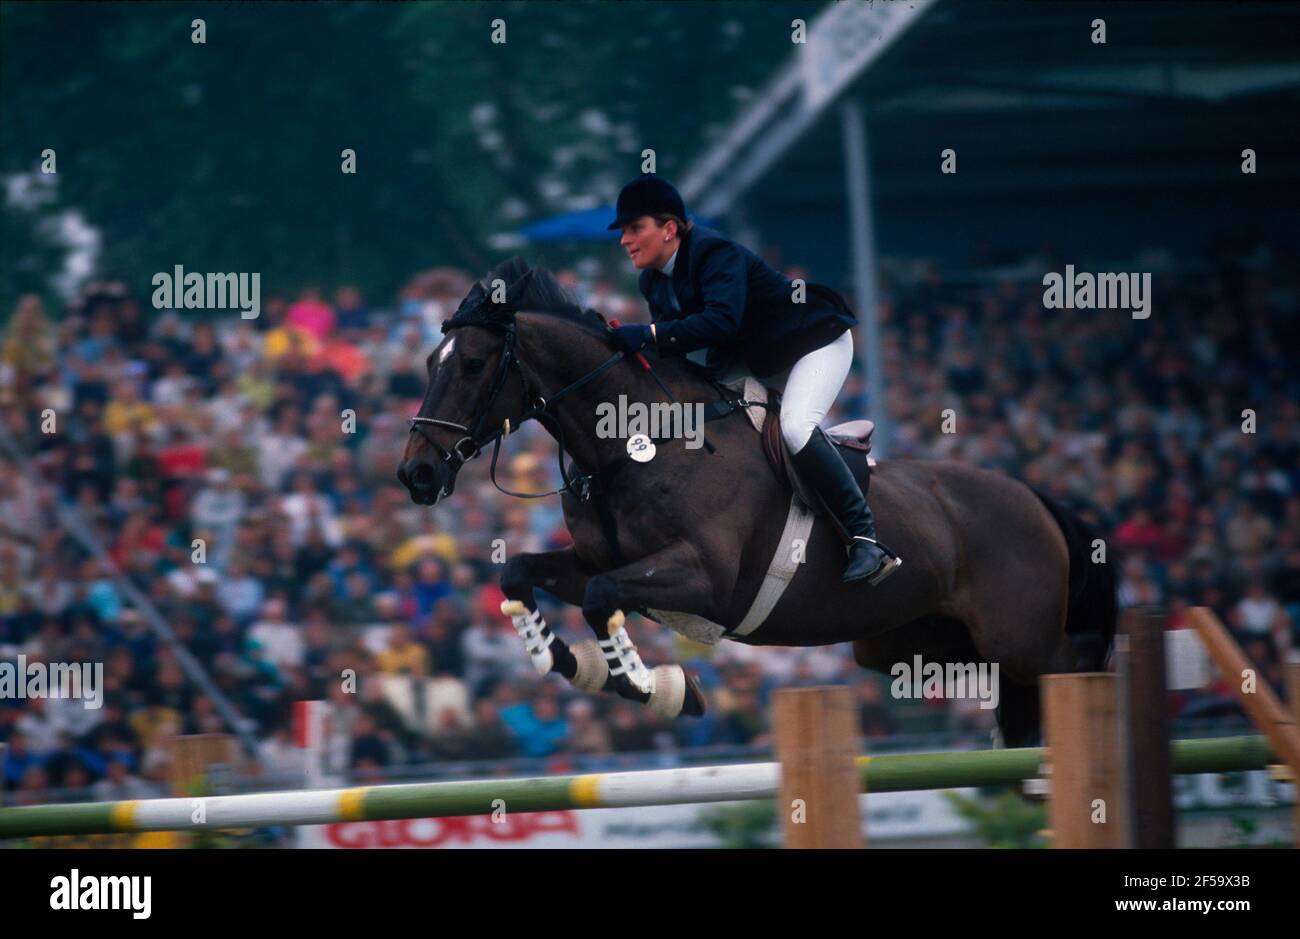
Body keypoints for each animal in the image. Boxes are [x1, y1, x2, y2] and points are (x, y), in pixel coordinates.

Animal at [395, 253, 1118, 738]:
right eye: (429, 362)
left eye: (472, 364)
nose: (415, 475)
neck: (632, 443)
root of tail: (1037, 499)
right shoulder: (602, 561)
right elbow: (521, 573)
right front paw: (576, 664)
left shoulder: (704, 577)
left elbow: (602, 599)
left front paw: (656, 686)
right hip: (907, 643)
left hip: (1017, 637)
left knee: (1072, 665)